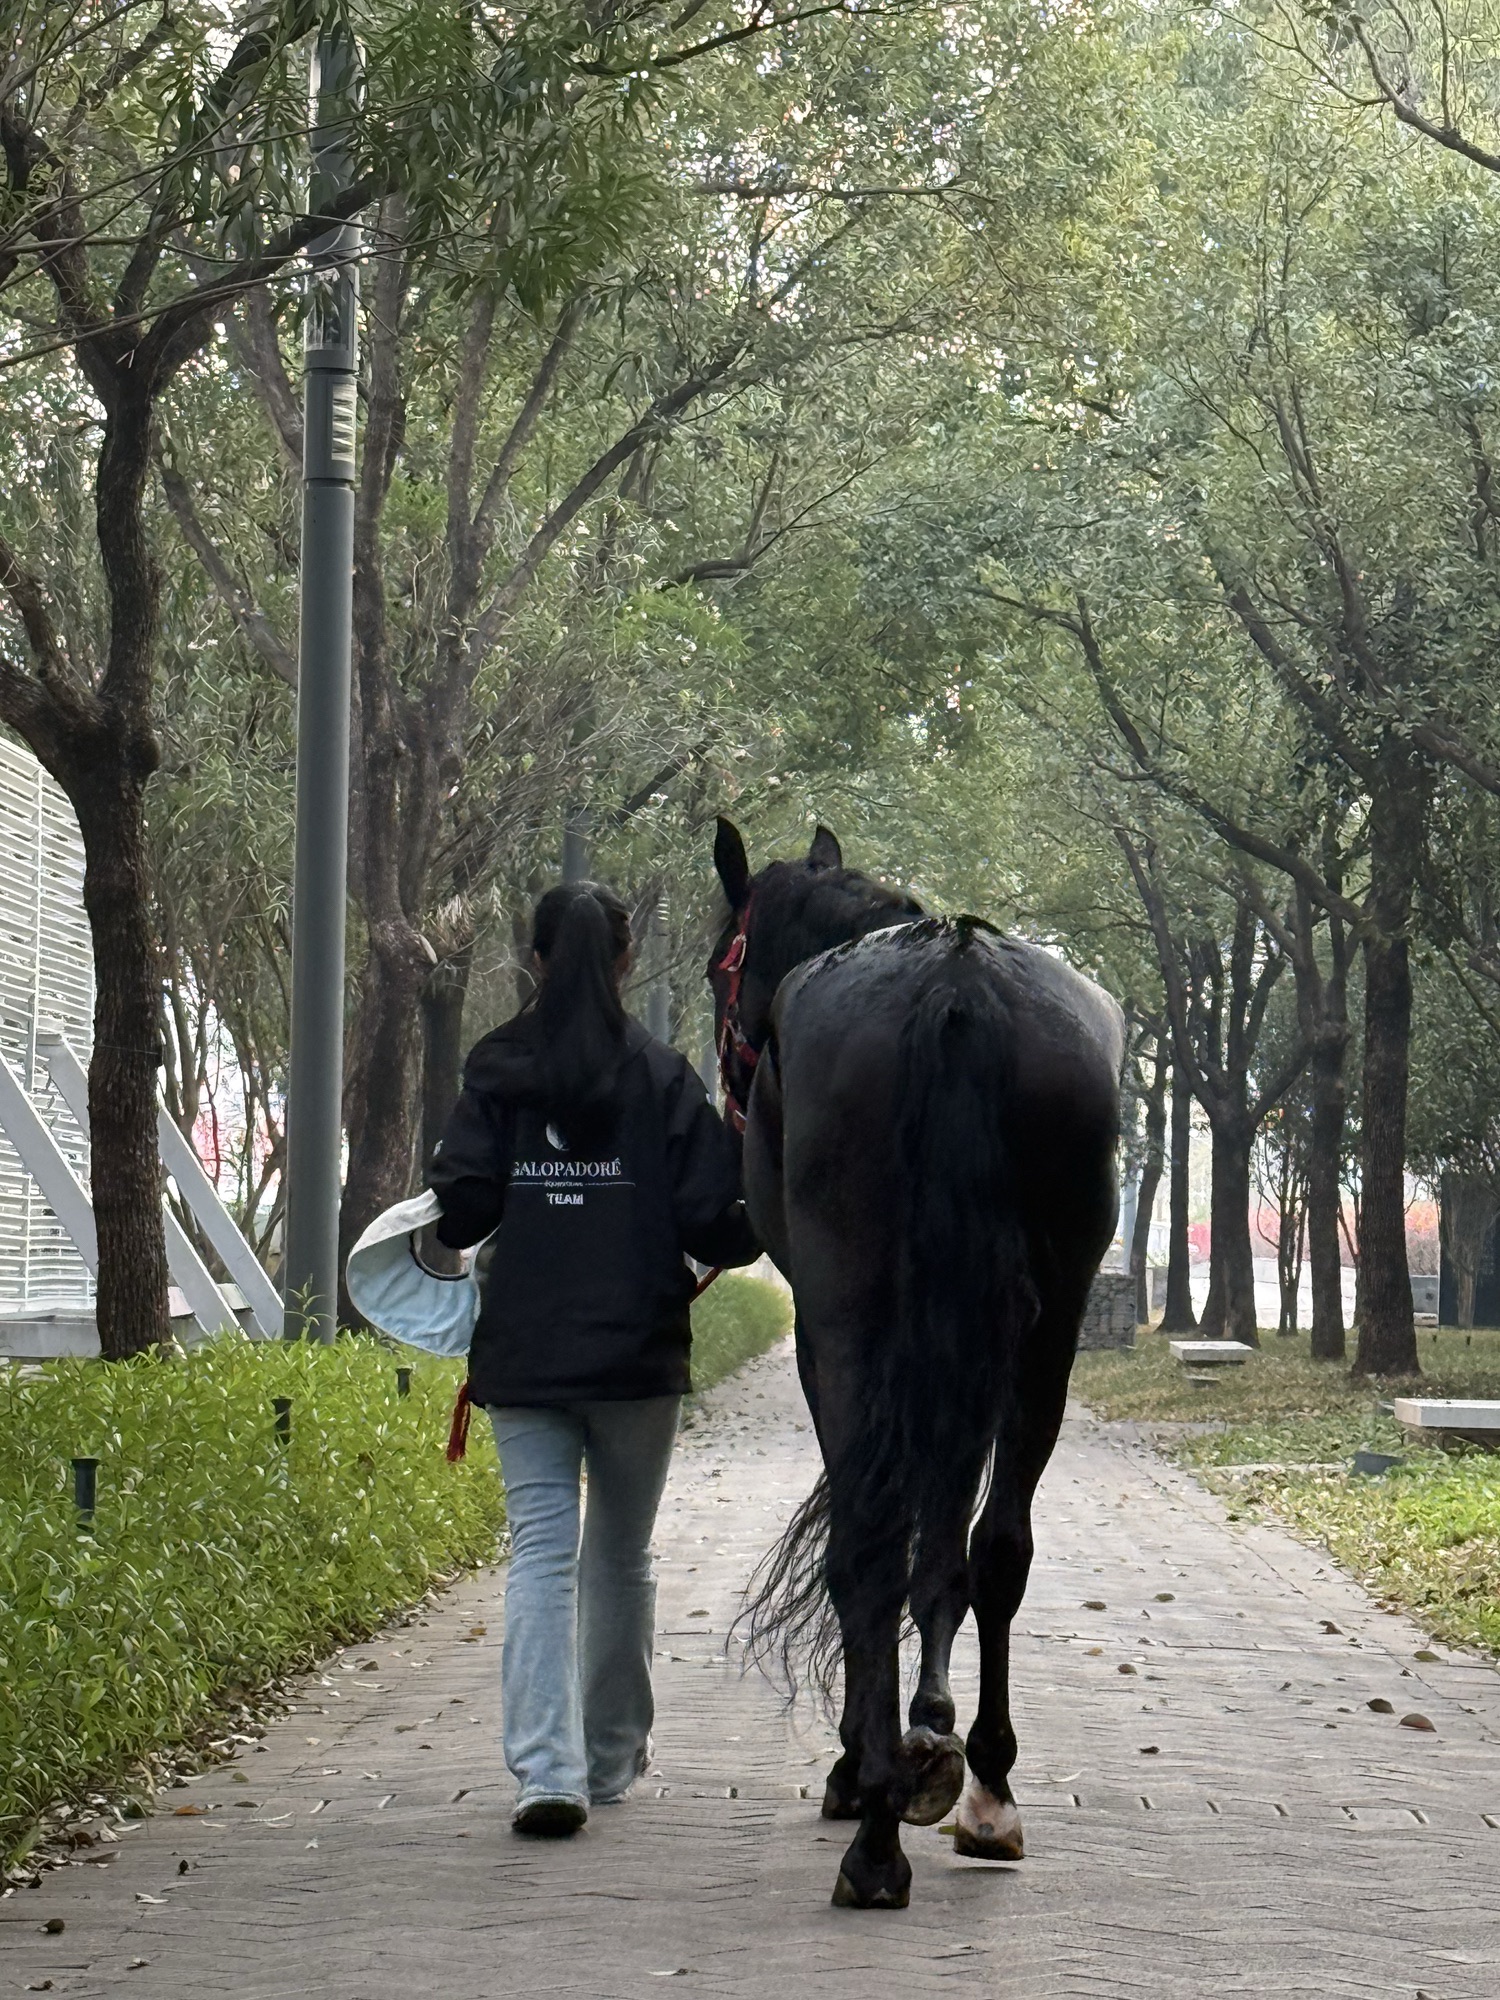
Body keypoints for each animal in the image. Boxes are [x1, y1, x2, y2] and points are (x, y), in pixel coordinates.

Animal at [707, 817, 1124, 1910]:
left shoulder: (829, 1339)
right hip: (1043, 1332)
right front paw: (931, 1732)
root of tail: (958, 981)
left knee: (868, 1543)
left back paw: (879, 1832)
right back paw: (983, 1784)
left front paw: (868, 1760)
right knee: (996, 1545)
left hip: (853, 1313)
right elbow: (954, 1545)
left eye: (721, 964)